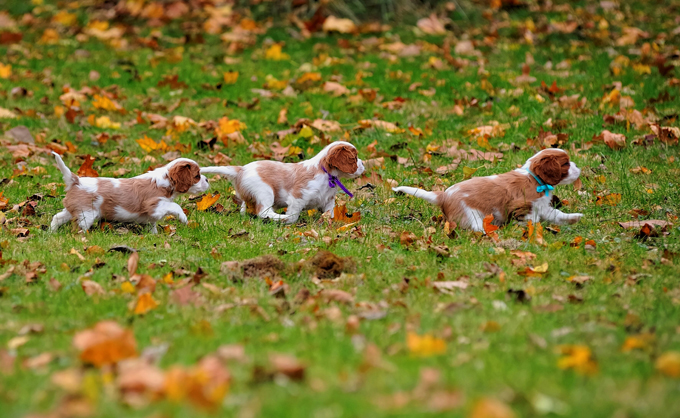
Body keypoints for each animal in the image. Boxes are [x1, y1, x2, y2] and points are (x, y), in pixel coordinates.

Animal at [50, 152, 209, 233]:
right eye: (197, 176)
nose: (207, 179)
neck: (165, 181)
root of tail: (76, 180)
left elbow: (152, 225)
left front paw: (154, 236)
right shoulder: (155, 205)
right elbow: (175, 206)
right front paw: (184, 218)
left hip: (72, 209)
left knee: (57, 217)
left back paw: (52, 233)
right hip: (86, 214)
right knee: (78, 228)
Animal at [199, 140, 364, 224]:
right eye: (355, 158)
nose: (363, 164)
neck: (327, 175)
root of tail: (241, 169)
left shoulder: (328, 200)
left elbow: (330, 213)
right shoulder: (298, 197)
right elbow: (294, 214)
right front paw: (290, 220)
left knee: (247, 207)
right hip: (265, 191)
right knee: (263, 212)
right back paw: (280, 218)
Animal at [394, 148, 584, 232]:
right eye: (566, 163)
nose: (579, 167)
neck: (534, 178)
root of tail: (444, 195)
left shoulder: (542, 206)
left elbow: (557, 214)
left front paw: (573, 218)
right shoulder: (523, 207)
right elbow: (532, 221)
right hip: (471, 215)